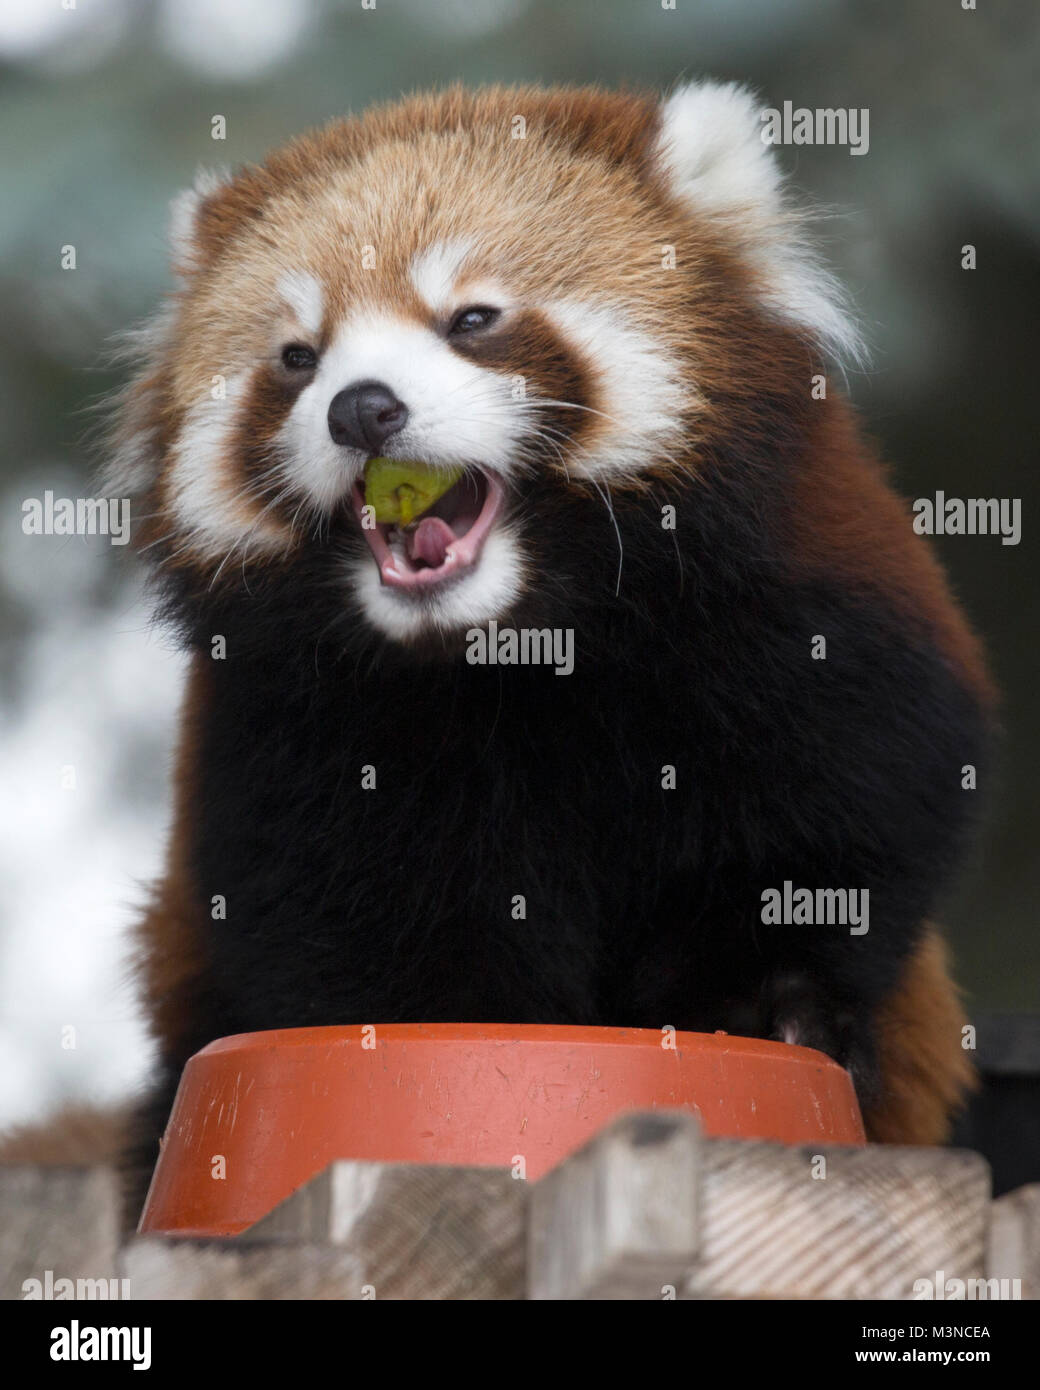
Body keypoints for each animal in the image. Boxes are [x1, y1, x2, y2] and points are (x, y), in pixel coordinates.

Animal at [57, 84, 989, 1206]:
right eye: (297, 357)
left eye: (472, 319)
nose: (361, 408)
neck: (516, 651)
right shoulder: (295, 741)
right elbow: (365, 936)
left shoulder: (808, 639)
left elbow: (828, 836)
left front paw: (762, 1007)